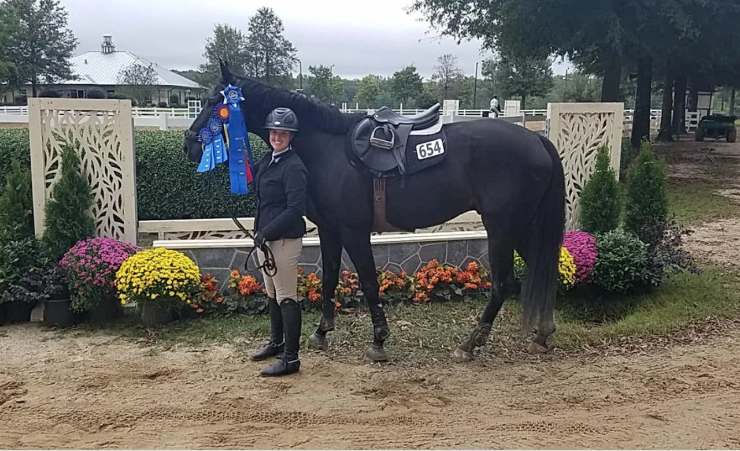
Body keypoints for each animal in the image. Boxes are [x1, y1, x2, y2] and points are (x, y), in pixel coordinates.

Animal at [182, 61, 564, 364]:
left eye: (215, 102)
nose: (190, 145)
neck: (328, 150)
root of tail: (537, 140)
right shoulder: (330, 230)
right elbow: (330, 277)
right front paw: (322, 332)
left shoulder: (353, 230)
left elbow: (367, 281)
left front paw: (379, 340)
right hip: (520, 226)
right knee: (542, 268)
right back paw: (542, 334)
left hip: (501, 226)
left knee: (502, 283)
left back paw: (470, 344)